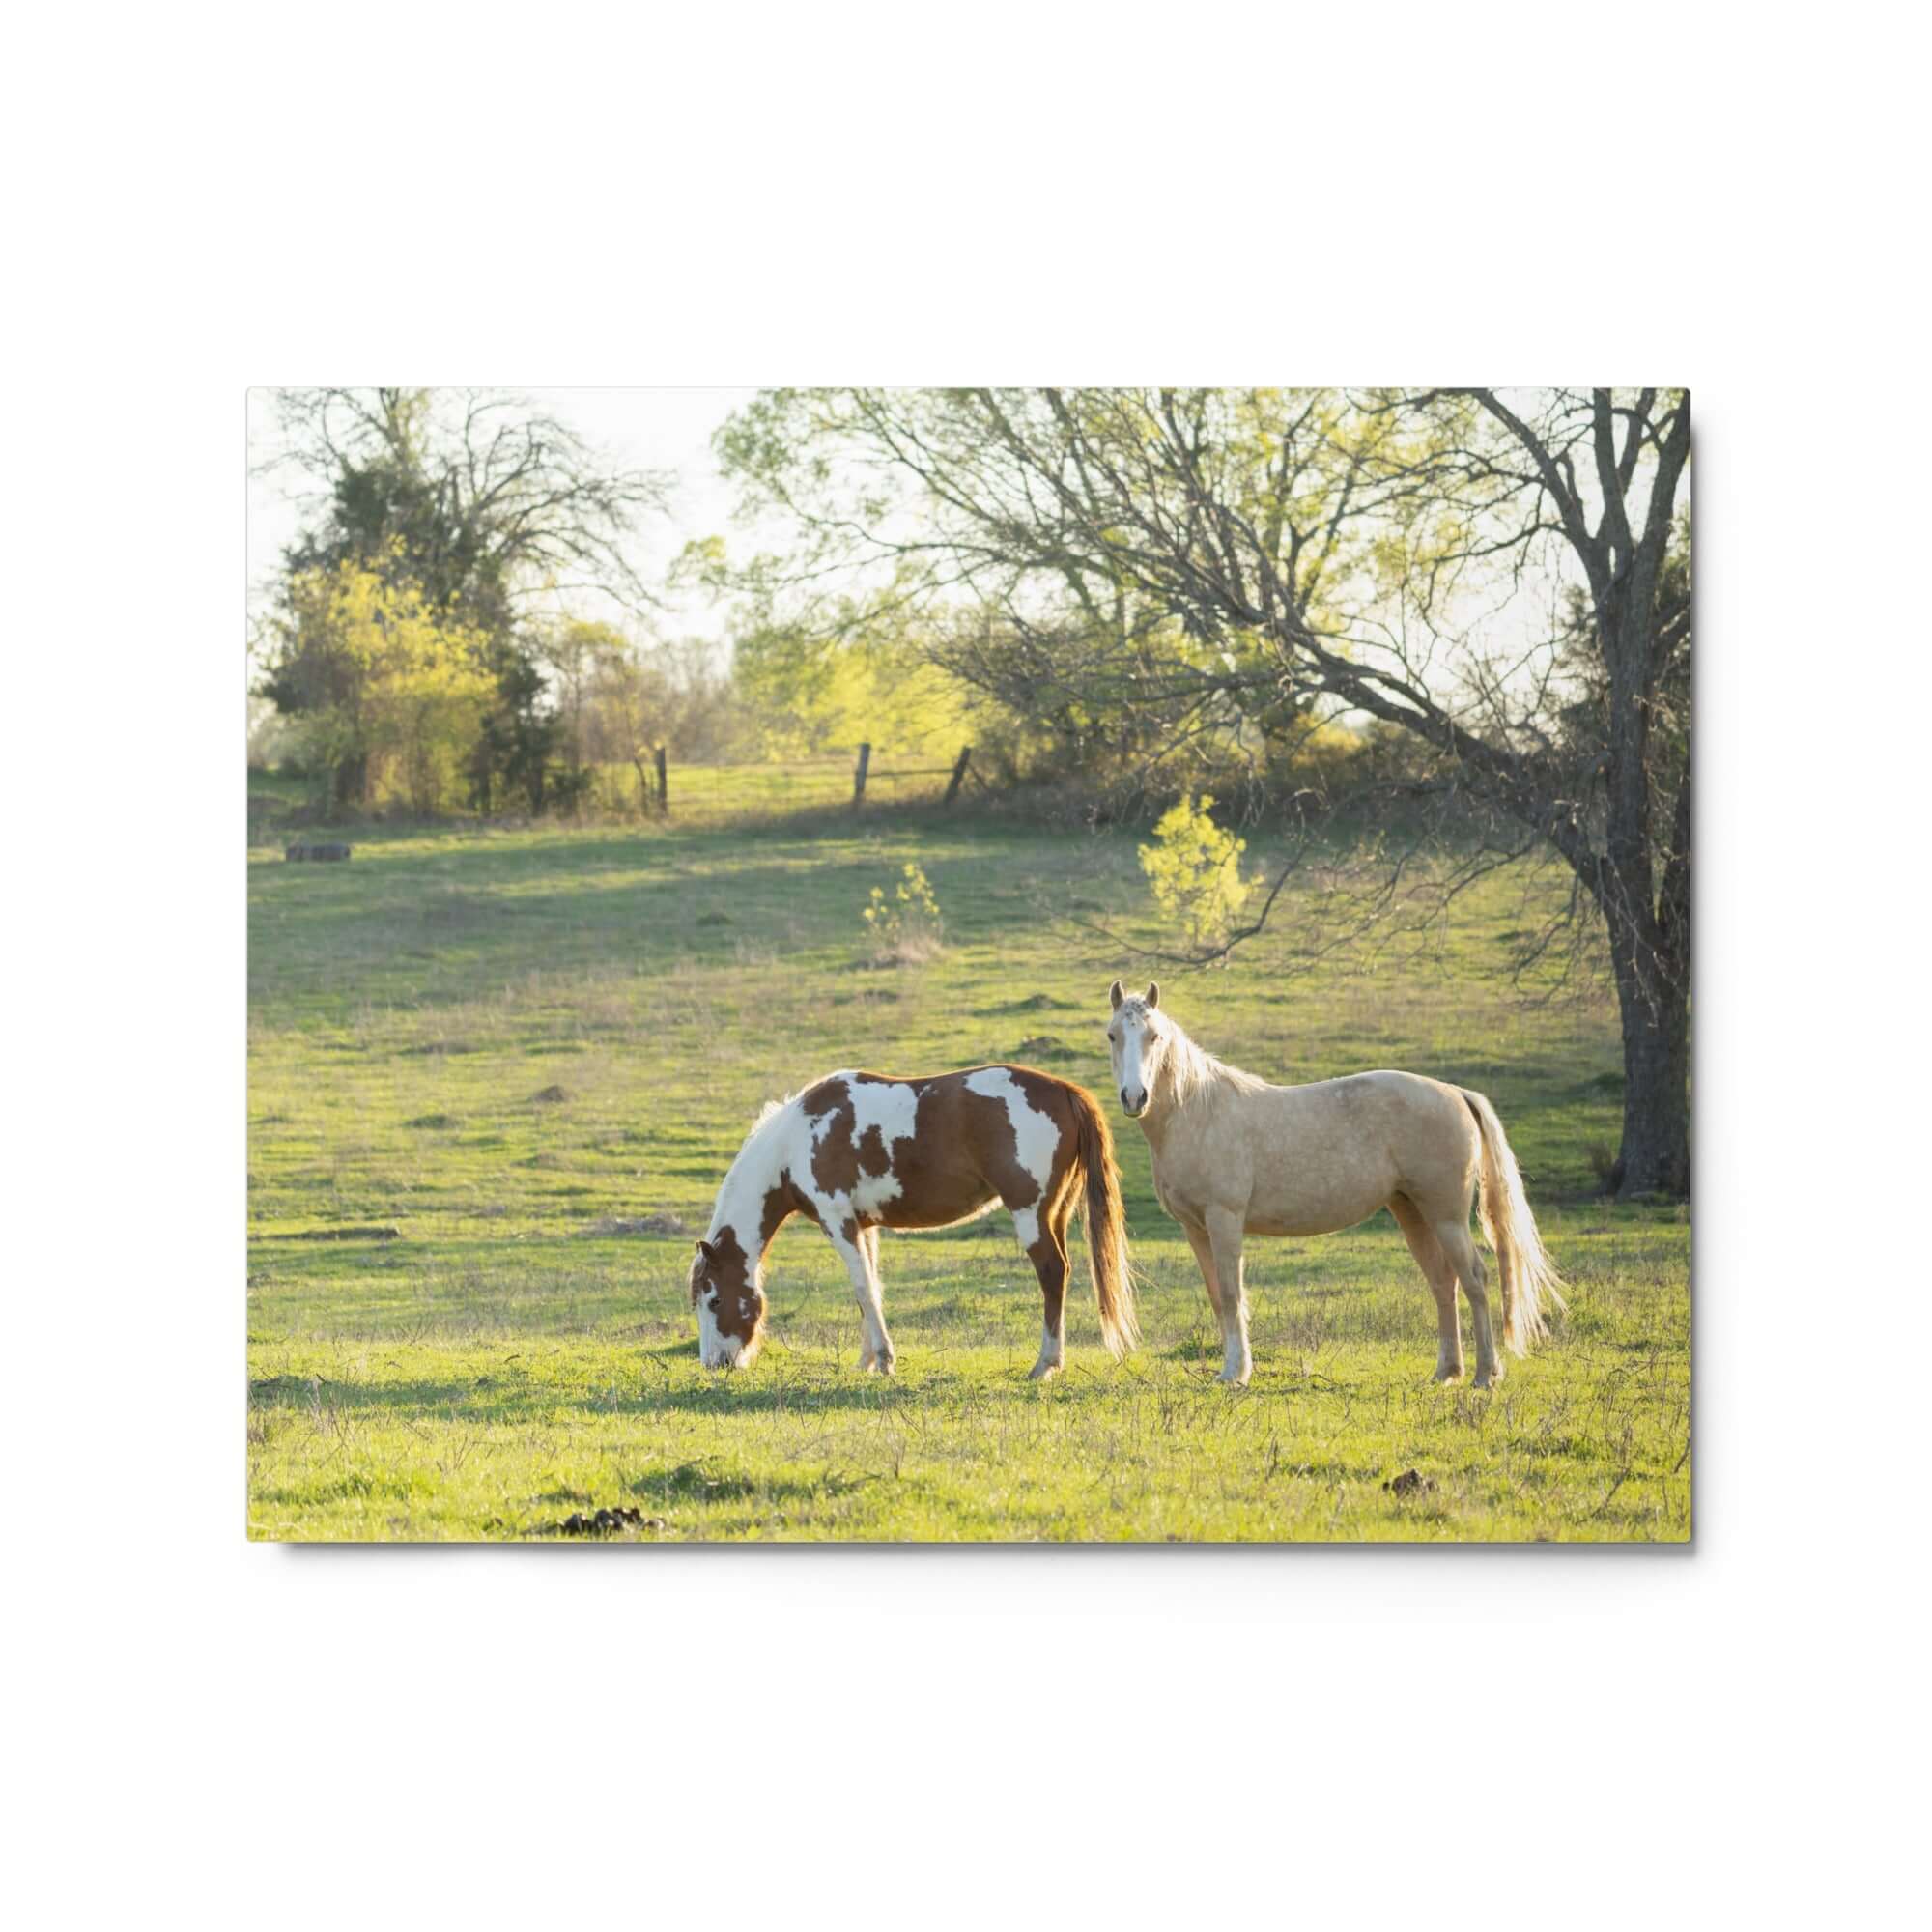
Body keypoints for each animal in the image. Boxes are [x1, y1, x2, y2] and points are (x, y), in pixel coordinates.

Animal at [688, 1065, 1136, 1377]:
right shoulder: (864, 1226)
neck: (797, 1139)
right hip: (1055, 1213)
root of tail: (1064, 1090)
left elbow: (862, 1287)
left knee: (1053, 1273)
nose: (715, 1364)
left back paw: (1046, 1363)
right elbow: (870, 1290)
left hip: (1029, 1214)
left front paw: (885, 1360)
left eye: (714, 1300)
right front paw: (868, 1360)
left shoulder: (838, 1222)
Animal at [1105, 980, 1564, 1389]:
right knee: (1442, 1282)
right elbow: (1219, 1296)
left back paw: (1486, 1374)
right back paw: (1446, 1372)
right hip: (1411, 1211)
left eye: (1155, 1036)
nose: (1134, 1097)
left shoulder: (1224, 1220)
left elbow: (1233, 1296)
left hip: (1446, 1216)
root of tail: (1455, 1093)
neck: (1198, 1111)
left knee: (1473, 1279)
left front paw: (1236, 1373)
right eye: (1112, 1035)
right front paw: (1231, 1368)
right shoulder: (1195, 1228)